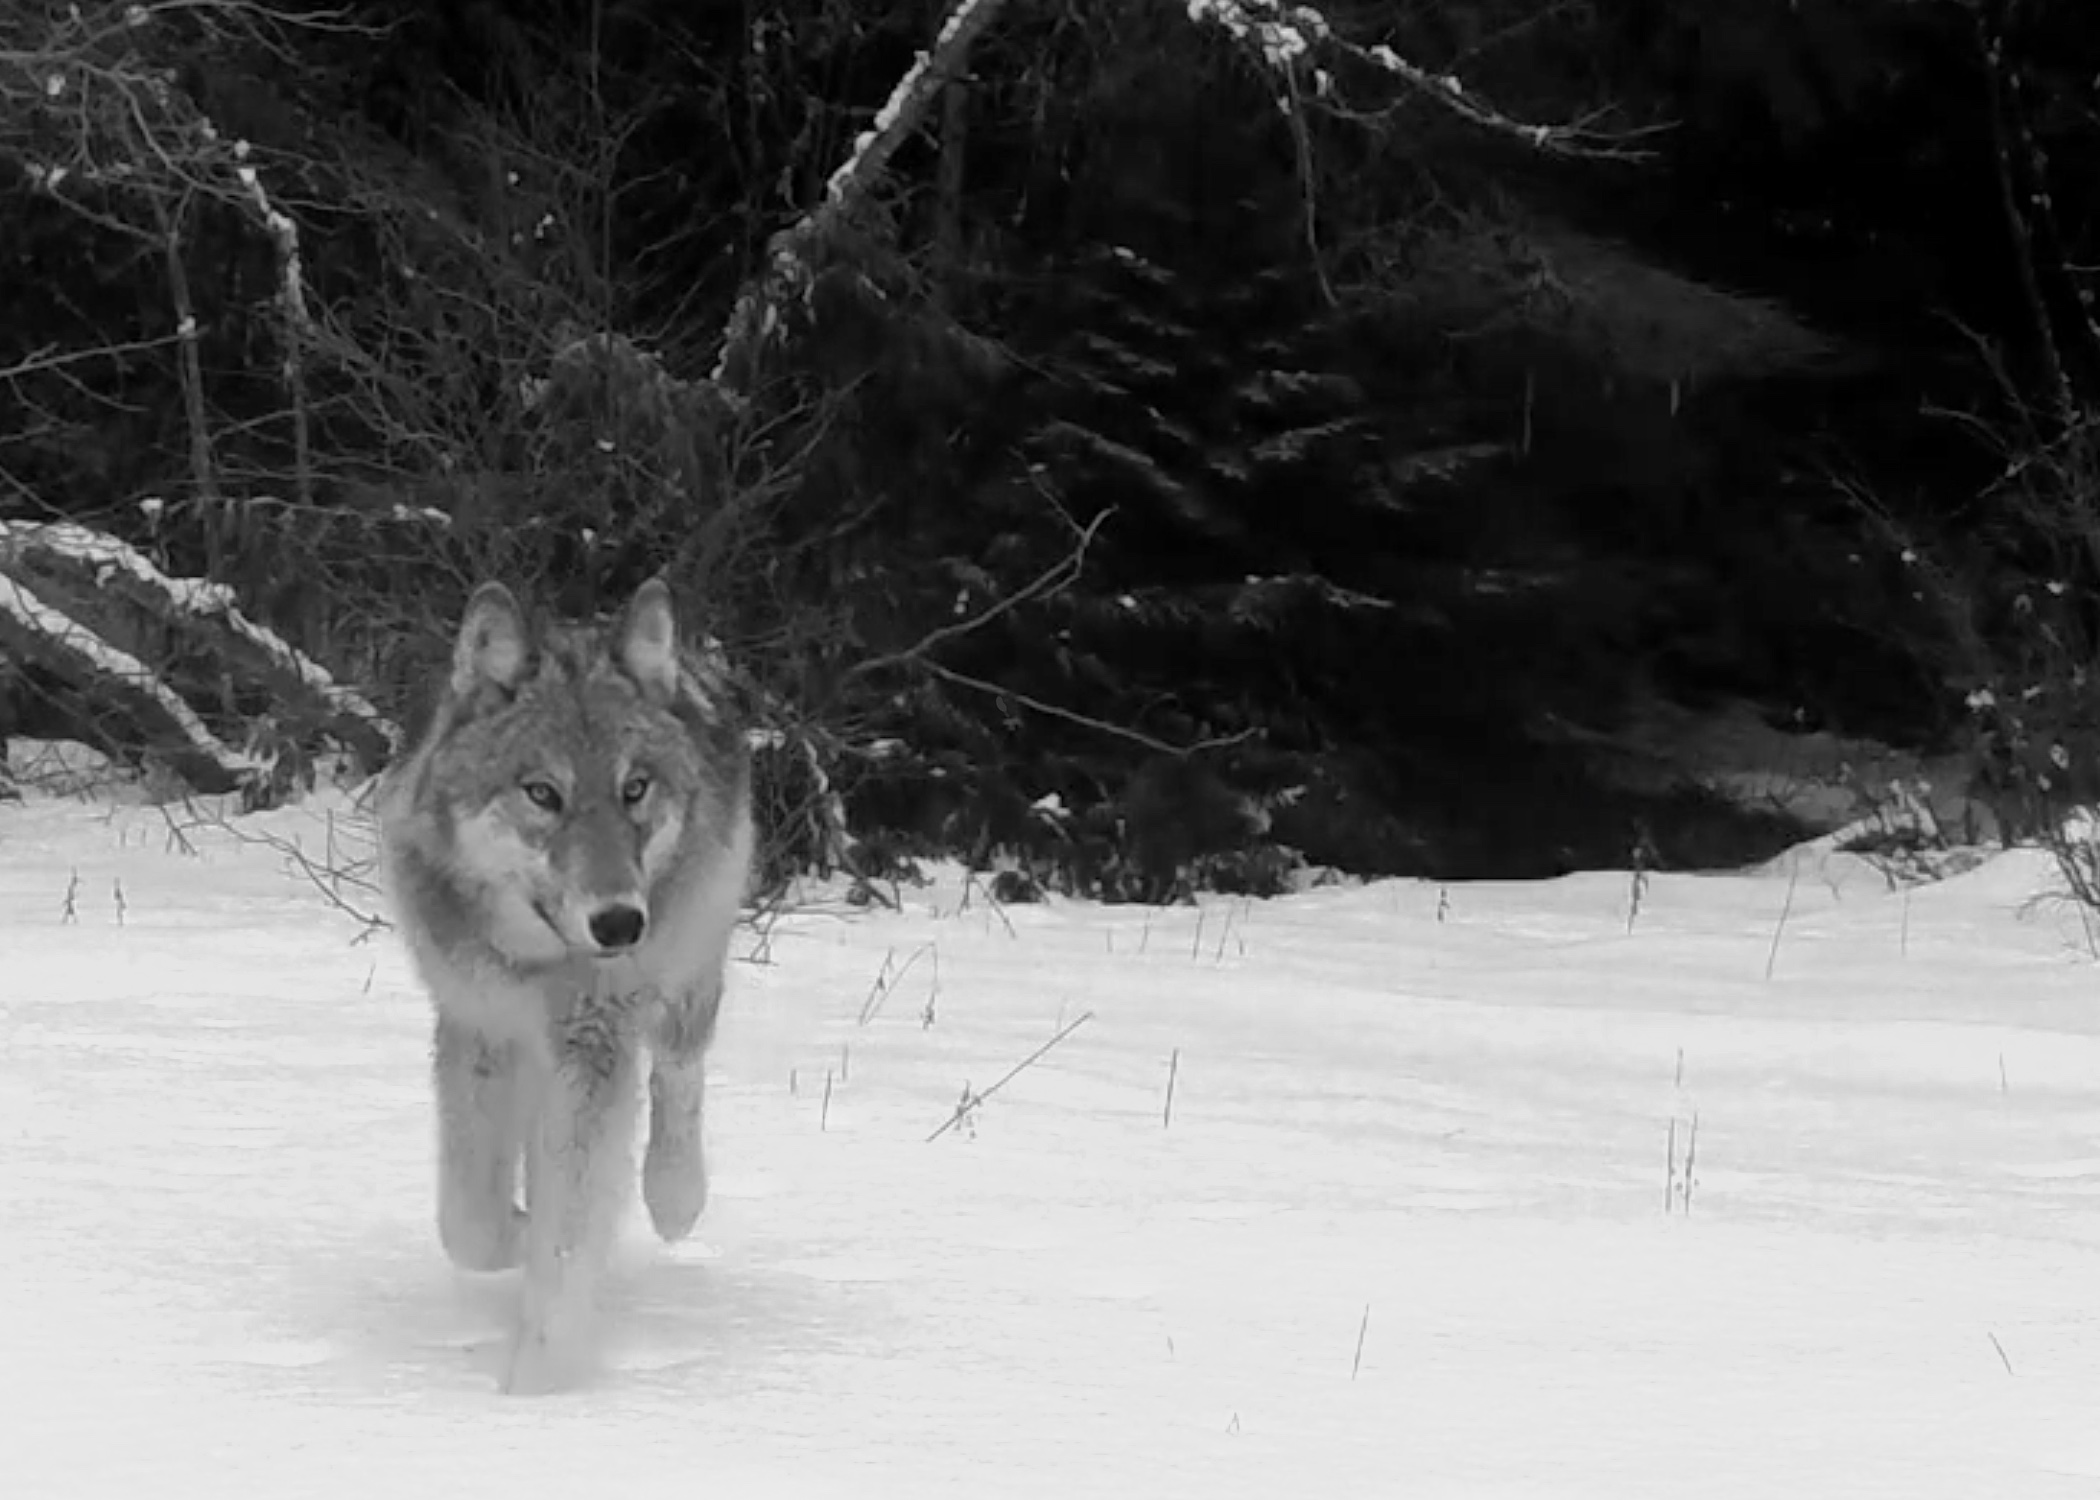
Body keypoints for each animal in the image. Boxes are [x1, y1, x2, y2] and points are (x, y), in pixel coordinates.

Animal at [376, 578, 753, 1395]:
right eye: (543, 793)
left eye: (634, 789)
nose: (620, 924)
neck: (537, 966)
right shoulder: (477, 1025)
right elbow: (471, 1221)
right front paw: (518, 1228)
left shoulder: (592, 1047)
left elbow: (567, 1237)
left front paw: (539, 1393)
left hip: (690, 967)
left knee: (680, 1071)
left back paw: (676, 1198)